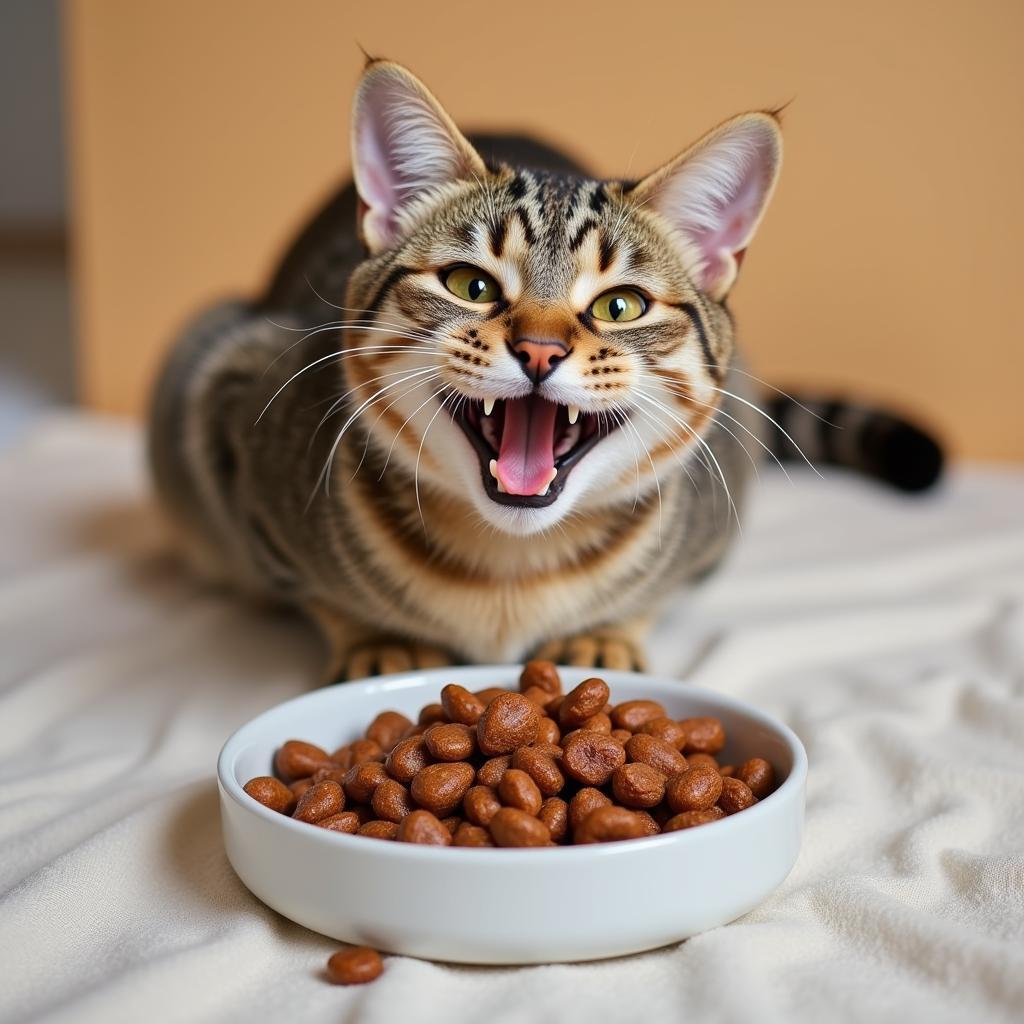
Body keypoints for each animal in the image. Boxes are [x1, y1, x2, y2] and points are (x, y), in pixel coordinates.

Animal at [146, 56, 942, 679]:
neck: (510, 571)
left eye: (620, 305)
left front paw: (604, 634)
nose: (539, 349)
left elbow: (654, 595)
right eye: (471, 285)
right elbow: (313, 592)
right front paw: (380, 642)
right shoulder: (228, 394)